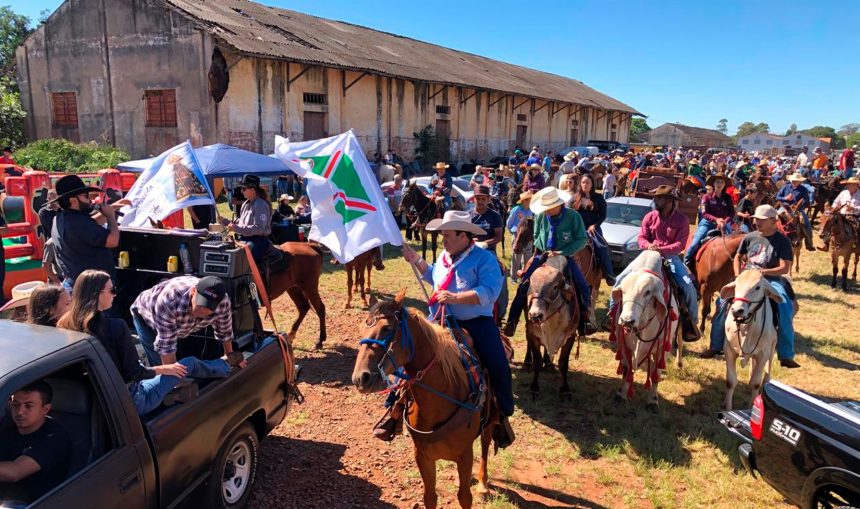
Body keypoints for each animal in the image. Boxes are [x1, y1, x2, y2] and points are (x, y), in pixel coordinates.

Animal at [351, 290, 497, 509]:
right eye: (362, 328)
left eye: (386, 328)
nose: (360, 378)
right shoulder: (423, 456)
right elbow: (430, 497)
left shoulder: (465, 455)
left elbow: (465, 497)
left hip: (489, 422)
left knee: (486, 444)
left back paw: (483, 485)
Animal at [609, 250, 679, 410]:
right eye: (623, 291)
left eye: (647, 292)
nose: (627, 320)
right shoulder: (625, 345)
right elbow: (626, 370)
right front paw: (621, 394)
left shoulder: (662, 349)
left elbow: (656, 375)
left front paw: (653, 401)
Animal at [719, 271, 782, 411]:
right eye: (736, 284)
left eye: (757, 287)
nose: (737, 310)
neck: (746, 328)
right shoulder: (728, 350)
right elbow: (731, 381)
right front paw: (727, 408)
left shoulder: (763, 354)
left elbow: (756, 383)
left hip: (773, 345)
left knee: (768, 368)